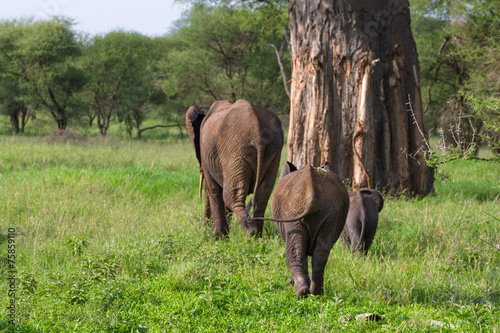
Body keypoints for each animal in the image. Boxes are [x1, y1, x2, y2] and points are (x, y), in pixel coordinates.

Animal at [186, 100, 284, 237]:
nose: (206, 228)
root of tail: (258, 134)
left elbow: (213, 189)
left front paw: (219, 238)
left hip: (233, 152)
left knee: (231, 196)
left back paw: (250, 233)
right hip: (272, 152)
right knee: (263, 195)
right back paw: (258, 235)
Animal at [270, 161, 348, 298]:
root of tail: (312, 192)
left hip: (293, 211)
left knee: (295, 253)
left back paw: (302, 294)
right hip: (329, 212)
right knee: (320, 254)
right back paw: (315, 294)